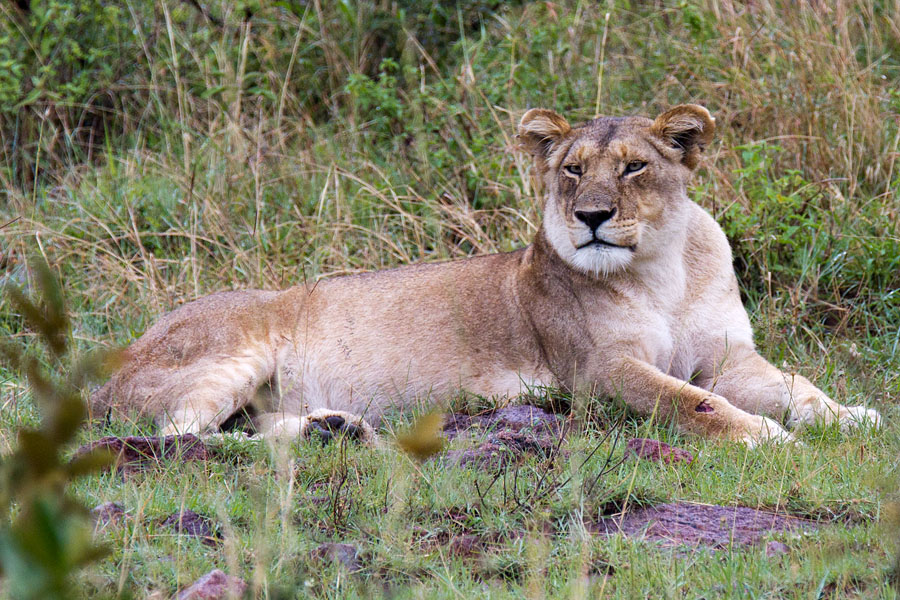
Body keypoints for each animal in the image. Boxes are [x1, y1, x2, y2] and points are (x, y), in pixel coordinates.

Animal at [91, 104, 881, 446]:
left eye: (633, 167)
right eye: (571, 170)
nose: (592, 216)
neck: (663, 270)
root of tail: (104, 370)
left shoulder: (728, 356)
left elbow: (796, 386)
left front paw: (851, 416)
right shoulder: (599, 372)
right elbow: (694, 404)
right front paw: (766, 437)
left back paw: (333, 426)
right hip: (232, 354)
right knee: (183, 438)